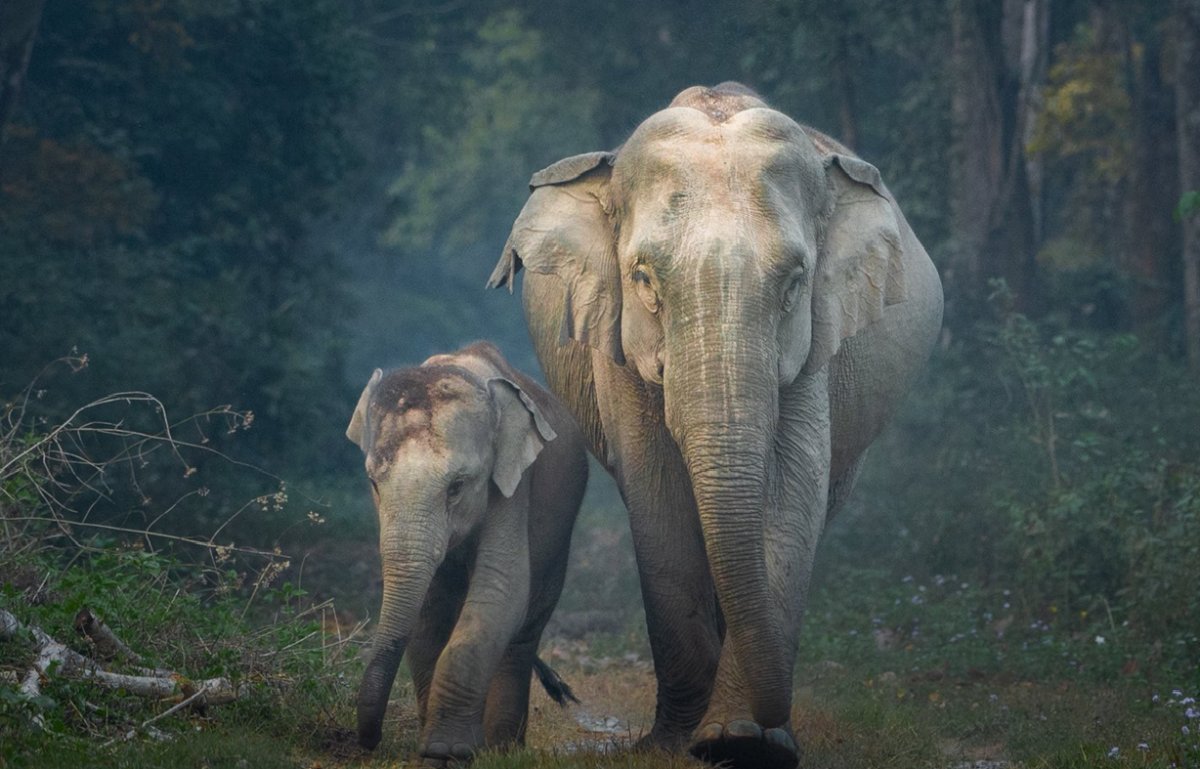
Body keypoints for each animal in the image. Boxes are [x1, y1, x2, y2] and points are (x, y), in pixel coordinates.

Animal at [347, 341, 588, 764]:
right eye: (374, 483)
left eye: (456, 487)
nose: (369, 743)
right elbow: (428, 615)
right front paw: (433, 753)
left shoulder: (513, 485)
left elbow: (500, 591)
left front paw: (449, 751)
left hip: (560, 532)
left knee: (522, 634)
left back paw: (503, 748)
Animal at [487, 82, 943, 769]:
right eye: (643, 278)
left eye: (795, 282)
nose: (774, 711)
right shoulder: (615, 349)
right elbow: (658, 498)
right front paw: (677, 741)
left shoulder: (814, 348)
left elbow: (790, 494)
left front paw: (745, 741)